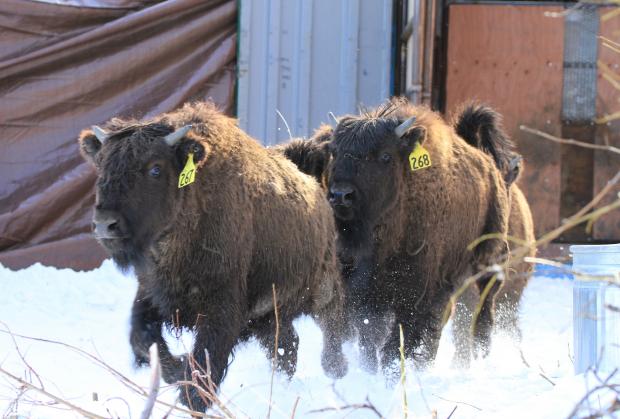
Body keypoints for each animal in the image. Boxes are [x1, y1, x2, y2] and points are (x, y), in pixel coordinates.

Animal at [77, 102, 346, 414]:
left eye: (155, 168)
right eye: (101, 166)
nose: (105, 224)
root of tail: (314, 185)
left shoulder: (221, 309)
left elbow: (206, 362)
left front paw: (191, 395)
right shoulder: (151, 295)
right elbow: (143, 340)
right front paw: (178, 367)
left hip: (324, 292)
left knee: (333, 330)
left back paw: (338, 371)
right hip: (271, 315)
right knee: (286, 348)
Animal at [278, 99, 508, 374]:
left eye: (385, 156)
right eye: (335, 152)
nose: (340, 195)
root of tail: (489, 167)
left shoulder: (412, 294)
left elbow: (395, 345)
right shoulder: (362, 293)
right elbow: (368, 339)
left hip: (485, 268)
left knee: (480, 317)